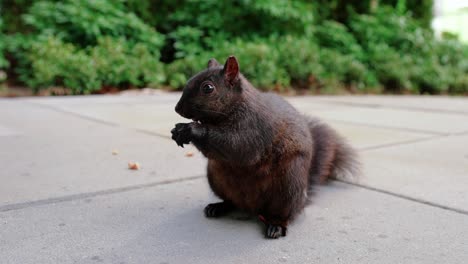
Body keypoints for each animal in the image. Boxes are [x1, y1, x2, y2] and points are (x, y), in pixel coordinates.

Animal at [171, 56, 358, 239]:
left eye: (208, 88)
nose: (177, 108)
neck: (237, 105)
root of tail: (252, 207)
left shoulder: (254, 129)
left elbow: (236, 146)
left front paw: (189, 129)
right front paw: (177, 131)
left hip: (288, 186)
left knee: (285, 214)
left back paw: (276, 225)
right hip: (216, 178)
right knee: (231, 202)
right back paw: (218, 207)